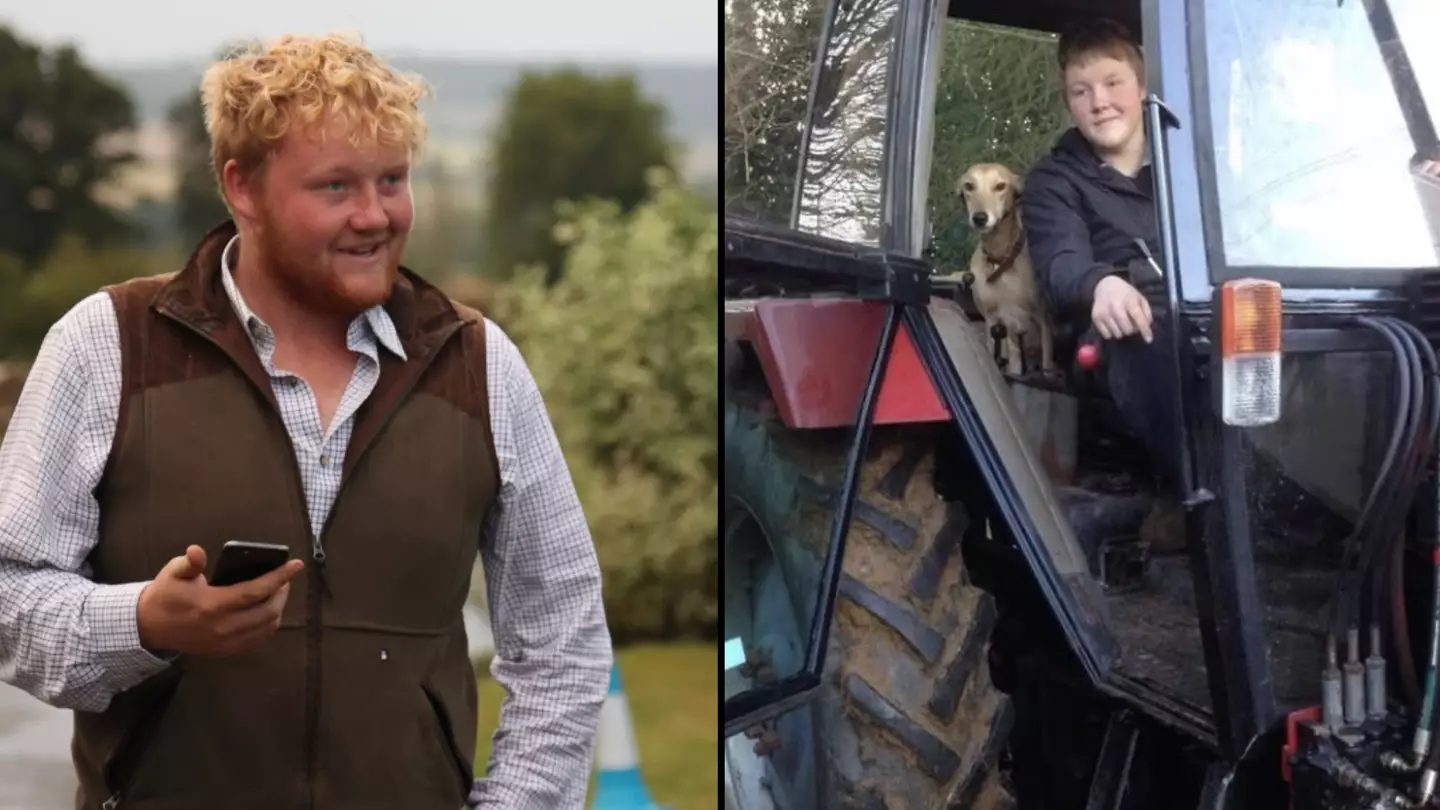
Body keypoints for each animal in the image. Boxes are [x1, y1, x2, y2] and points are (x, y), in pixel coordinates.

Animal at [956, 161, 1059, 374]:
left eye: (1000, 186)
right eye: (969, 186)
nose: (980, 218)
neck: (1000, 260)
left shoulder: (1043, 322)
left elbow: (1047, 366)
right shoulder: (995, 322)